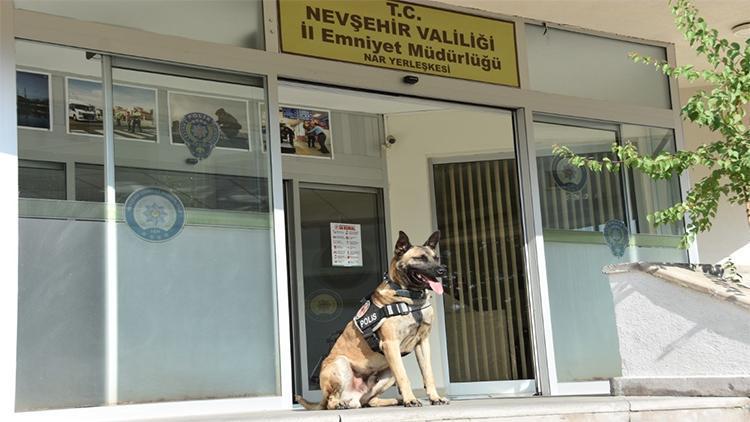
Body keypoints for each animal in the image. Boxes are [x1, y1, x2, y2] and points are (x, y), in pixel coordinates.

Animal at [296, 231, 450, 408]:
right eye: (420, 258)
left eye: (436, 257)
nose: (443, 270)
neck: (410, 299)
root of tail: (353, 397)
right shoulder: (391, 345)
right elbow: (404, 376)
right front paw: (410, 399)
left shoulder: (422, 343)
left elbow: (428, 374)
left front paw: (434, 397)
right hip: (341, 364)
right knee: (330, 401)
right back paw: (339, 404)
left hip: (388, 372)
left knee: (370, 400)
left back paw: (394, 400)